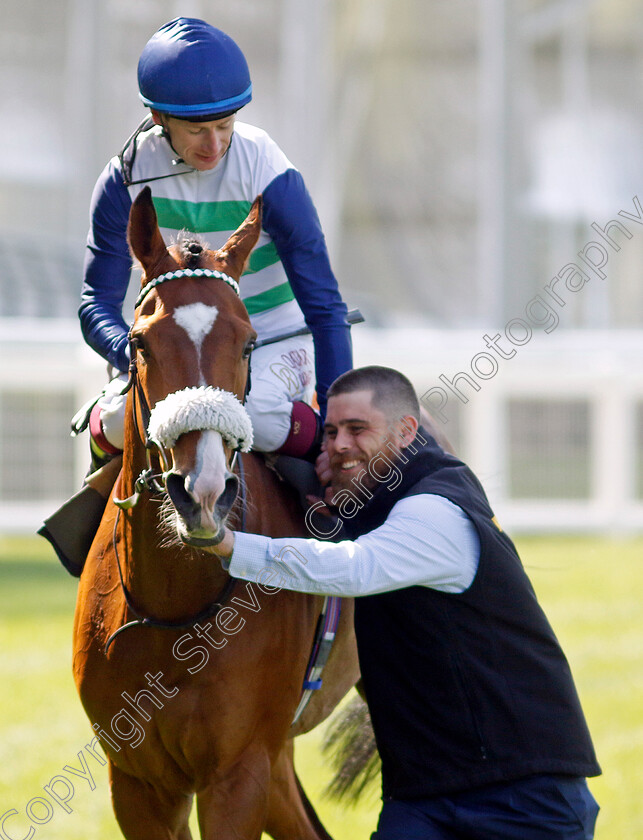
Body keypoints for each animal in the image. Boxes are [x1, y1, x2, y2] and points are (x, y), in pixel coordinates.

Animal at [74, 189, 362, 840]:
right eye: (139, 343)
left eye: (249, 342)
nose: (202, 492)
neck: (171, 608)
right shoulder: (137, 780)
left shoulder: (238, 770)